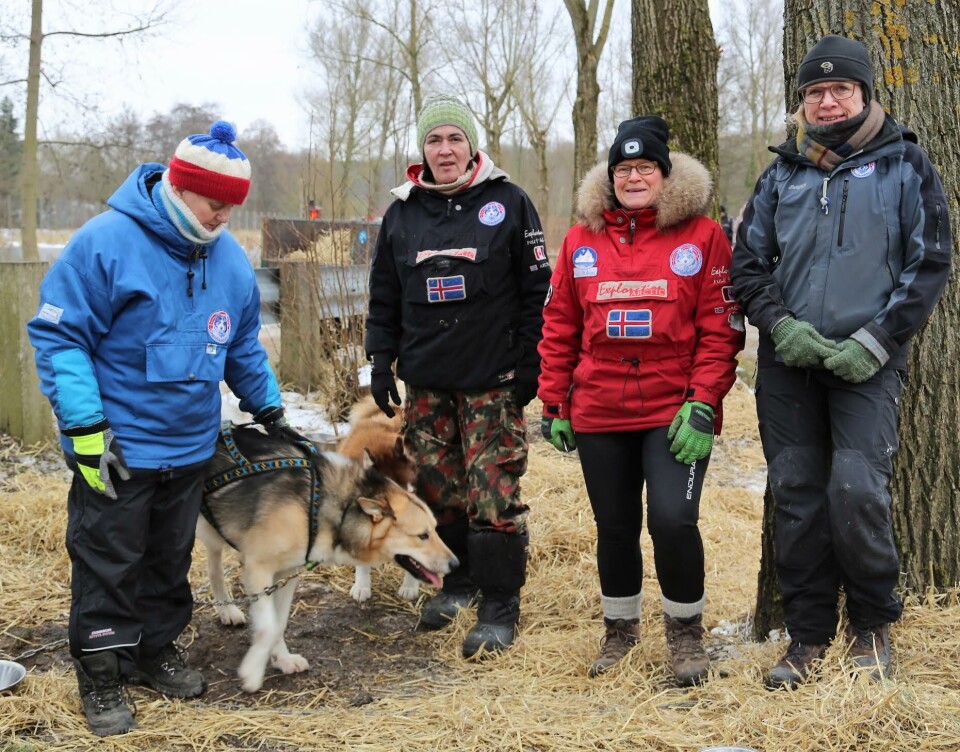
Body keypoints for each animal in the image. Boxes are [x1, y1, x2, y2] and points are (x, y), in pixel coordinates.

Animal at [197, 424, 456, 692]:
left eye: (435, 529)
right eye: (423, 535)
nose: (455, 564)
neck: (317, 503)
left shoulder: (286, 575)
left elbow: (278, 623)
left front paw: (282, 660)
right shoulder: (259, 570)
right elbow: (268, 627)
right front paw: (252, 672)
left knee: (214, 569)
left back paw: (227, 611)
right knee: (214, 571)